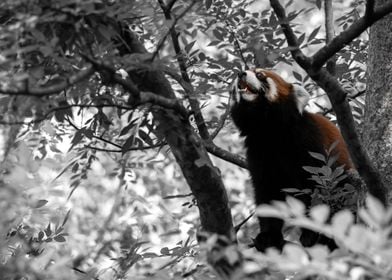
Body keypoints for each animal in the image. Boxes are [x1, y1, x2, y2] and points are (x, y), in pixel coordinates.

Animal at [230, 68, 352, 252]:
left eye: (260, 74)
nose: (241, 73)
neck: (269, 128)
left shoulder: (308, 141)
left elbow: (316, 189)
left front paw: (311, 233)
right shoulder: (258, 150)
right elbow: (268, 193)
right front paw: (268, 236)